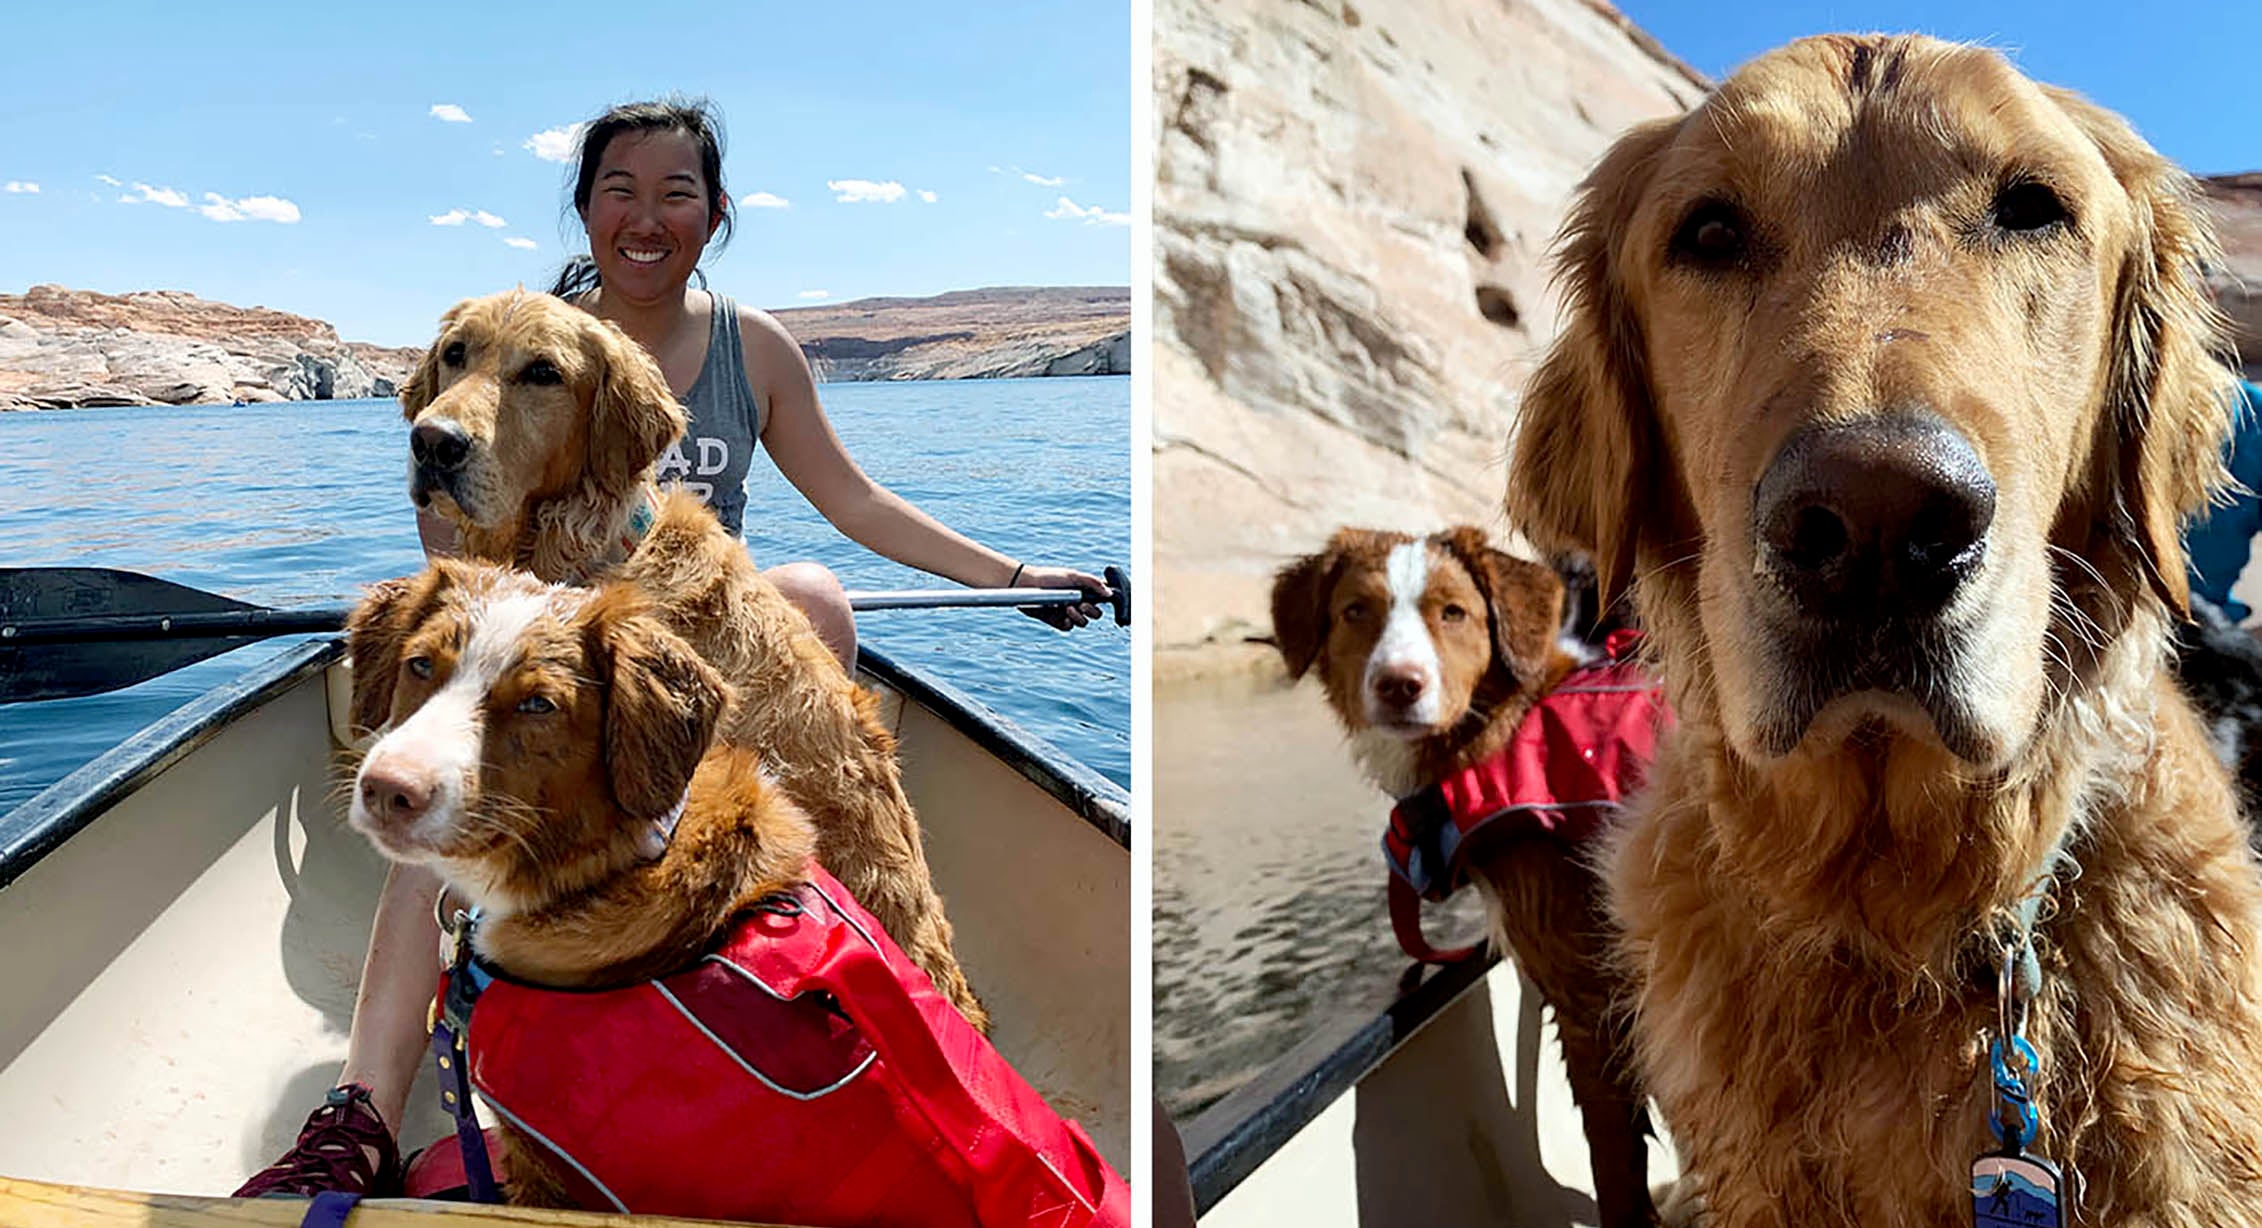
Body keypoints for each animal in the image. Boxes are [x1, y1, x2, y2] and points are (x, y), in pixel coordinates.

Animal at [1266, 524, 1655, 1228]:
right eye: (1355, 610)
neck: (1503, 726)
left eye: (1453, 613)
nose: (1399, 684)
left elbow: (1618, 1169)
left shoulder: (1594, 994)